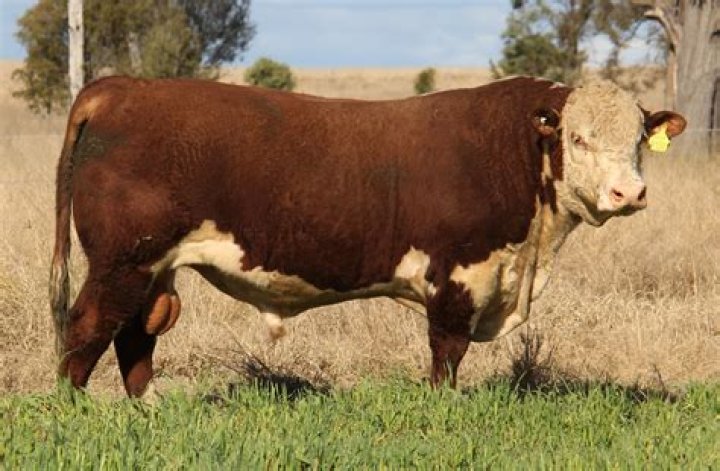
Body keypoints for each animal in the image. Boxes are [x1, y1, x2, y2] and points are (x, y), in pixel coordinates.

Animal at [49, 76, 686, 397]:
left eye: (638, 138)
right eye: (577, 138)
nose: (629, 193)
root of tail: (117, 85)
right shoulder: (458, 276)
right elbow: (447, 354)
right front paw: (443, 411)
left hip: (150, 267)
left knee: (135, 336)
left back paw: (147, 411)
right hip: (121, 260)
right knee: (87, 328)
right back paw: (75, 410)